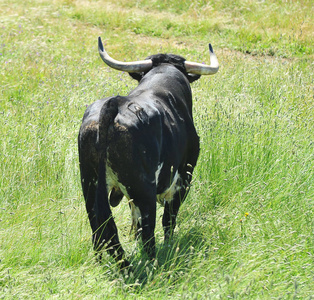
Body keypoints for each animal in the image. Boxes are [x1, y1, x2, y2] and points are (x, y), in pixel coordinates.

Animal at [78, 36, 218, 268]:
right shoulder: (184, 178)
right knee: (146, 232)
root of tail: (114, 105)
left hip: (89, 183)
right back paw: (151, 264)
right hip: (144, 190)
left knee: (99, 227)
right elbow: (169, 219)